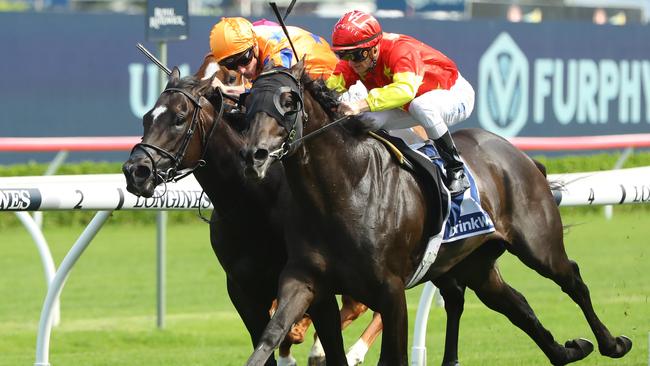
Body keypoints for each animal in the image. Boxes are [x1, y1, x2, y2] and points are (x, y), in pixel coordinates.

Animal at [238, 60, 628, 366]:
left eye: (288, 101)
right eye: (246, 101)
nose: (253, 155)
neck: (341, 190)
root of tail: (521, 156)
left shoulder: (391, 290)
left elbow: (391, 357)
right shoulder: (304, 279)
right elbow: (270, 334)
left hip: (538, 245)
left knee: (572, 279)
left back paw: (612, 343)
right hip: (475, 263)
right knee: (515, 304)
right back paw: (569, 350)